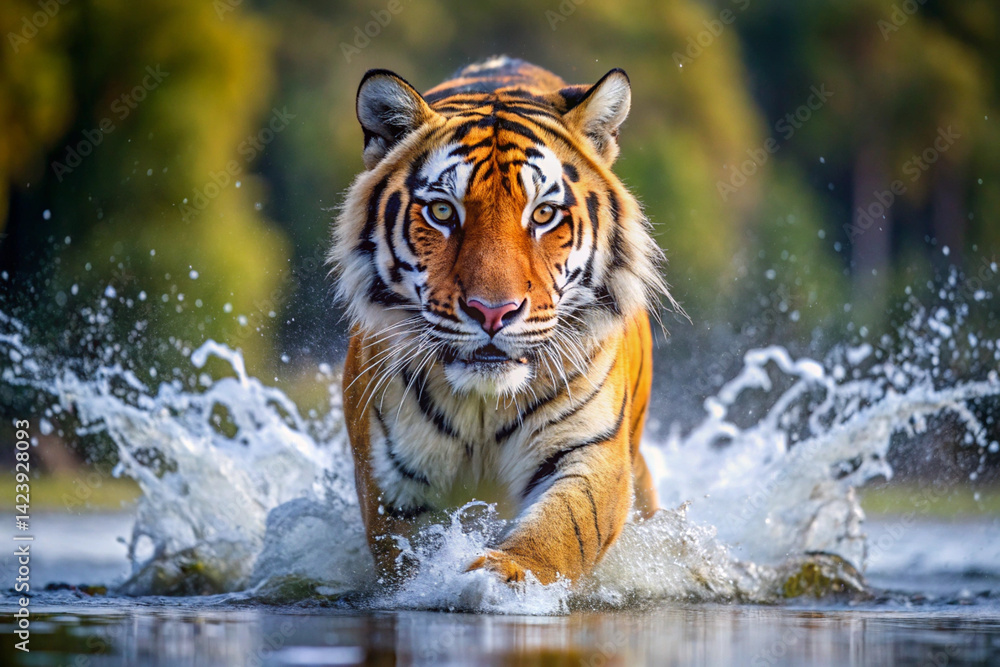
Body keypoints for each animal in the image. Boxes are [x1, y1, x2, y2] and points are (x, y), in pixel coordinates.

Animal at [330, 56, 672, 585]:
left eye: (545, 214)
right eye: (442, 211)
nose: (493, 311)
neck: (483, 406)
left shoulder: (588, 449)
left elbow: (562, 529)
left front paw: (504, 575)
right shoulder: (392, 476)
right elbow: (407, 551)